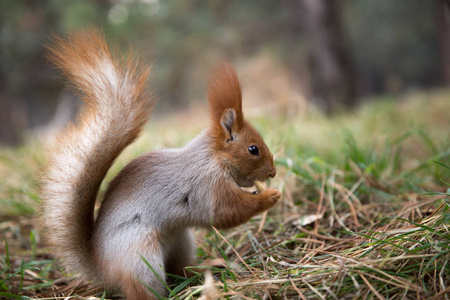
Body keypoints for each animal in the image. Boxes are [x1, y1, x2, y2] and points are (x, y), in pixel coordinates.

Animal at [41, 28, 282, 300]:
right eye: (253, 149)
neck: (212, 158)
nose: (273, 172)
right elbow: (224, 212)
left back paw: (206, 269)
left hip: (181, 240)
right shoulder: (206, 186)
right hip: (141, 258)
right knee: (144, 289)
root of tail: (103, 269)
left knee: (181, 268)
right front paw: (269, 197)